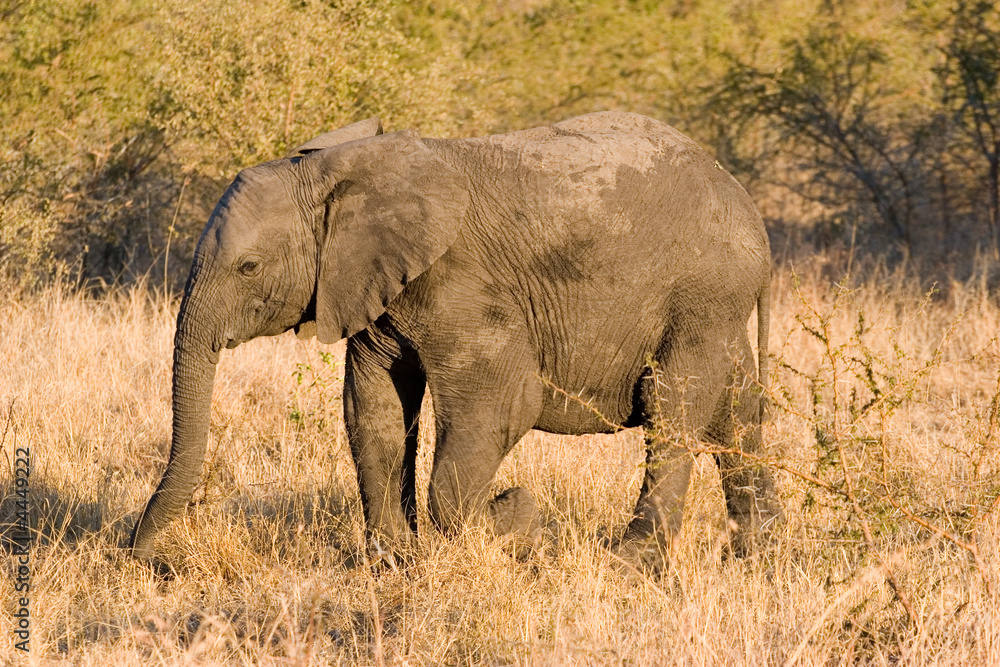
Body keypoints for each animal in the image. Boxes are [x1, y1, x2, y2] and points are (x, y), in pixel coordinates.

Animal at [127, 112, 780, 572]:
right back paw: (757, 560)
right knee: (735, 413)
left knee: (673, 410)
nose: (152, 559)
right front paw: (393, 561)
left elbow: (500, 406)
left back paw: (629, 566)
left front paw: (517, 519)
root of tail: (748, 206)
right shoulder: (375, 289)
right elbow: (375, 412)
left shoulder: (464, 286)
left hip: (701, 296)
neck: (342, 171)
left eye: (248, 268)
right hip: (716, 307)